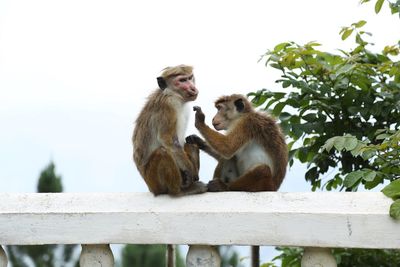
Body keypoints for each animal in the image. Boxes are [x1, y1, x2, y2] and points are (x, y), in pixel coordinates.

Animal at [132, 65, 208, 197]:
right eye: (182, 80)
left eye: (190, 78)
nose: (193, 88)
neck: (174, 94)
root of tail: (150, 188)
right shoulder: (168, 105)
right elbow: (169, 141)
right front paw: (190, 172)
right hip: (154, 182)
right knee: (163, 152)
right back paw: (179, 191)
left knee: (190, 142)